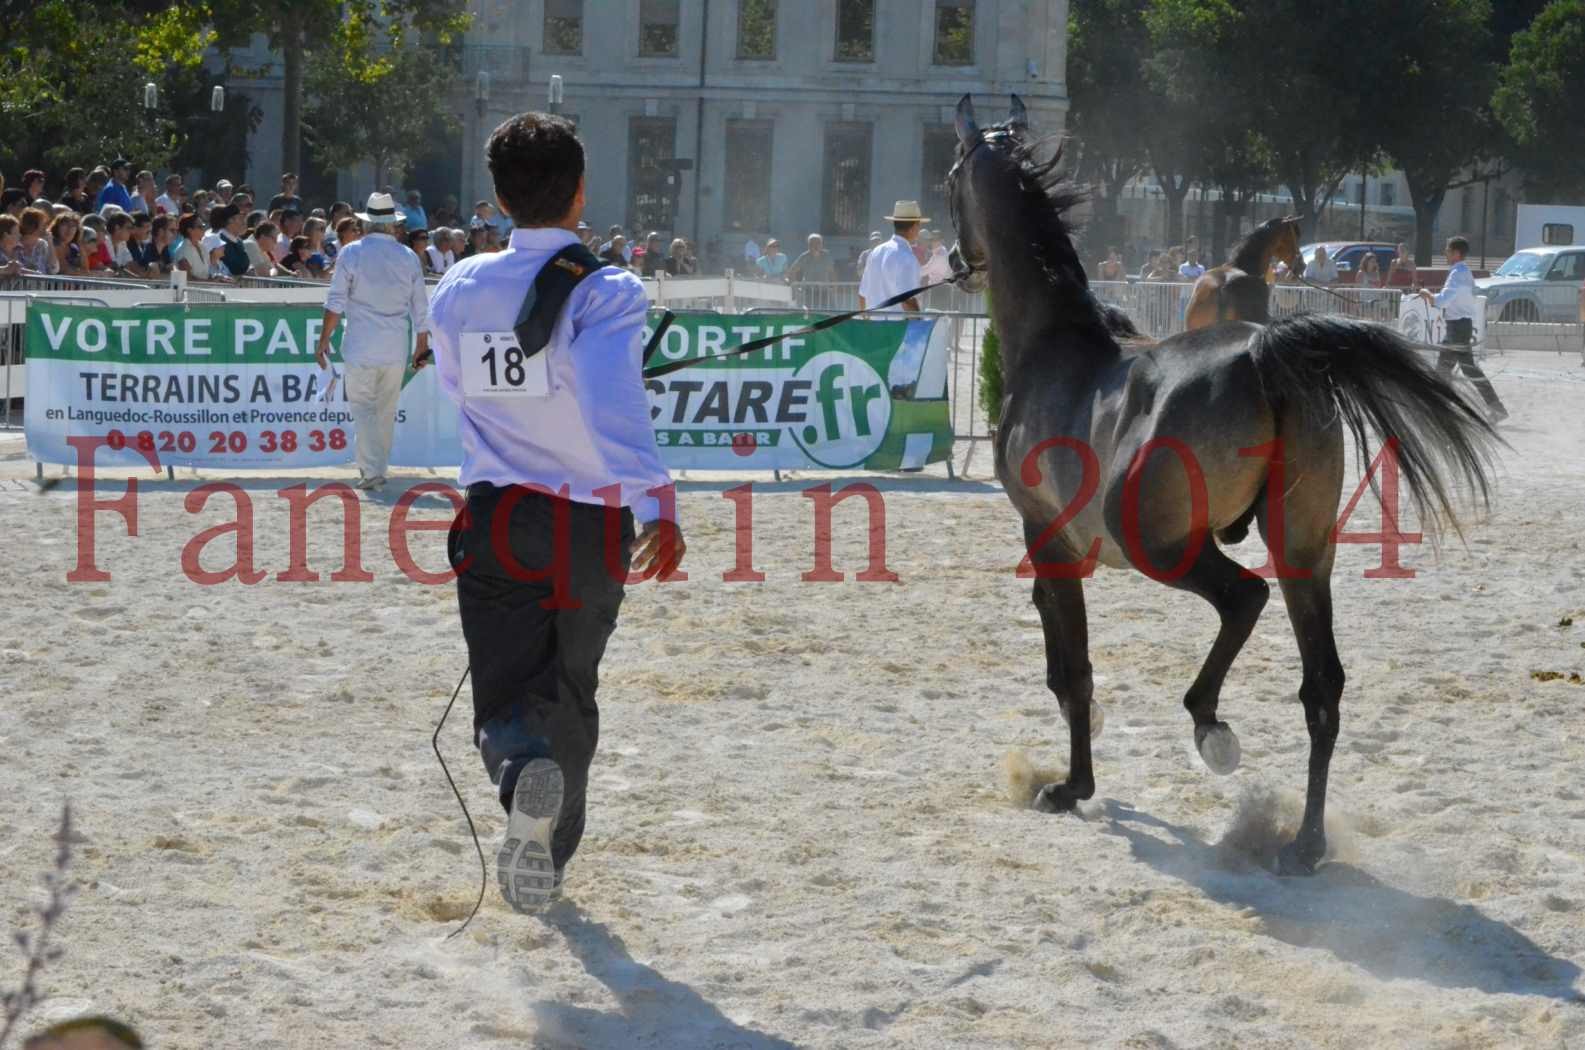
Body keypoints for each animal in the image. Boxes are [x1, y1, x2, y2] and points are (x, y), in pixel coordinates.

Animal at [951, 96, 1496, 869]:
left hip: (1163, 548)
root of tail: (1267, 349)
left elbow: (1075, 670)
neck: (1057, 348)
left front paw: (1071, 786)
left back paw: (1210, 726)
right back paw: (1303, 842)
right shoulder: (1063, 550)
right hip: (1303, 552)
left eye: (950, 177)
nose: (955, 261)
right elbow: (1056, 643)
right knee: (1321, 686)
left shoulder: (1045, 534)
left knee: (1244, 598)